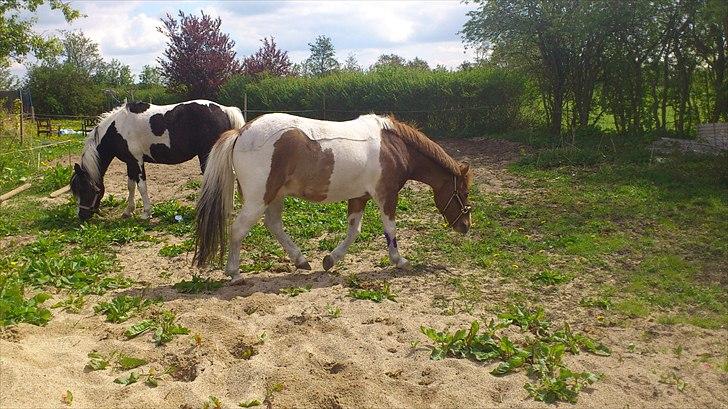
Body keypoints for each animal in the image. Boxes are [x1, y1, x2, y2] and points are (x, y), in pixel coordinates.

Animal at [70, 100, 245, 221]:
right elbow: (130, 186)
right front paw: (128, 211)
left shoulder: (137, 161)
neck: (117, 129)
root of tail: (225, 110)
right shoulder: (130, 162)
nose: (82, 216)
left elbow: (141, 186)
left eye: (86, 190)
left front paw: (146, 213)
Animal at [193, 113, 473, 283]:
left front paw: (329, 260)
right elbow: (390, 230)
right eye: (463, 192)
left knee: (273, 225)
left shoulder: (359, 197)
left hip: (274, 196)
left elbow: (353, 231)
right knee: (238, 229)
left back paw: (301, 260)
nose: (466, 226)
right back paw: (235, 273)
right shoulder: (386, 195)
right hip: (257, 199)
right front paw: (400, 261)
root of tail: (241, 132)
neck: (394, 146)